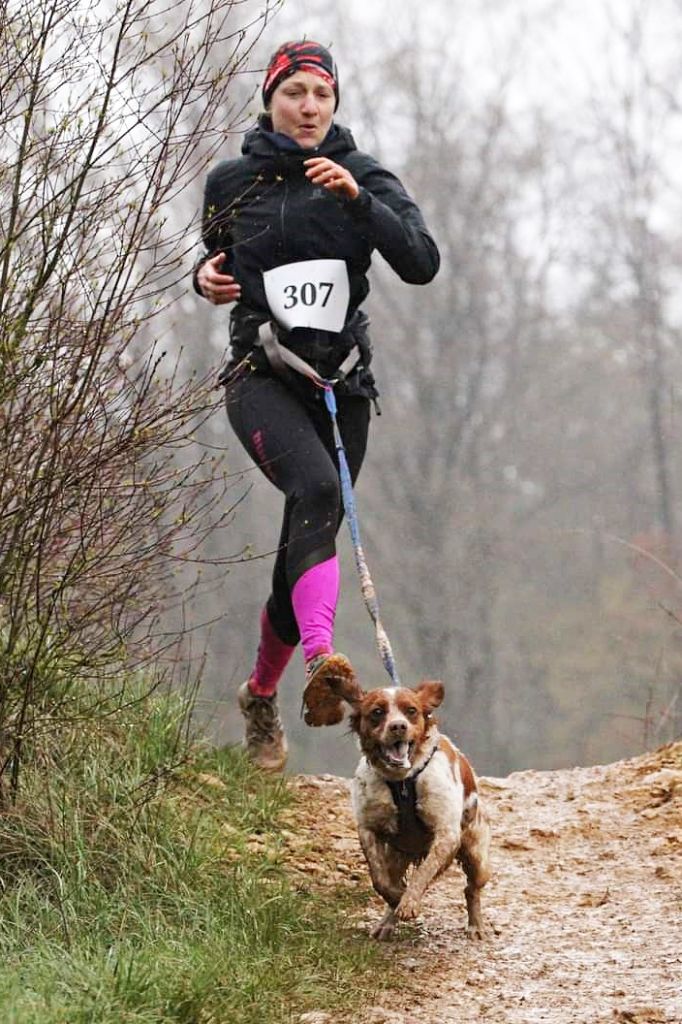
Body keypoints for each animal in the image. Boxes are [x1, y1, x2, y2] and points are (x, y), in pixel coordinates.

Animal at [329, 675, 489, 937]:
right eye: (377, 712)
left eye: (411, 710)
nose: (398, 726)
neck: (401, 781)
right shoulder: (368, 828)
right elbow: (380, 879)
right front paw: (397, 899)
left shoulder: (446, 834)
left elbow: (423, 872)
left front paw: (408, 903)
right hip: (397, 855)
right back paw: (386, 922)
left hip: (477, 854)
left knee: (471, 889)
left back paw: (475, 926)